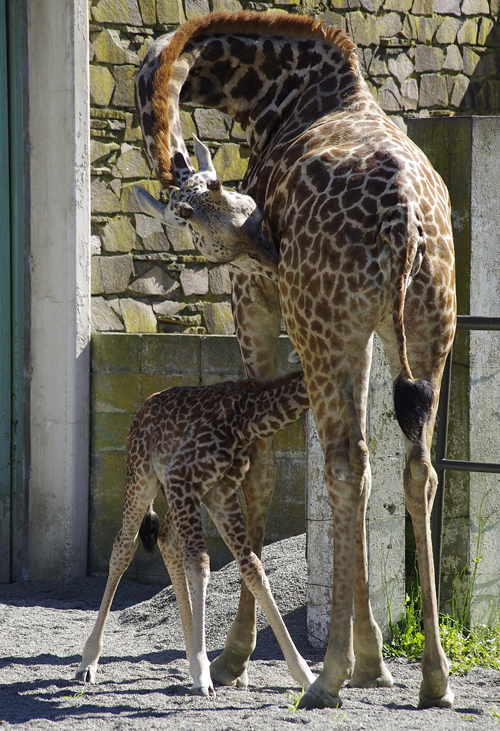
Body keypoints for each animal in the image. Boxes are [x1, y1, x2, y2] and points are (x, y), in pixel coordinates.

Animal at [75, 364, 312, 696]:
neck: (246, 417)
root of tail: (142, 408)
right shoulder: (182, 480)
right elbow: (199, 564)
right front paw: (202, 674)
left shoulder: (219, 493)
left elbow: (253, 568)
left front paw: (306, 675)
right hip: (142, 476)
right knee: (124, 546)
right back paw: (88, 662)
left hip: (181, 495)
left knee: (166, 540)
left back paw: (190, 656)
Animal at [135, 10, 456, 708]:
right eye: (192, 214)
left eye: (218, 201)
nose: (267, 248)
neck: (273, 95)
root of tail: (406, 220)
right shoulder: (361, 331)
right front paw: (375, 664)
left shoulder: (251, 299)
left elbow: (257, 469)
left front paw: (234, 659)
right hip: (423, 328)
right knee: (410, 467)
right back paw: (432, 679)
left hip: (319, 323)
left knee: (342, 464)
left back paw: (325, 678)